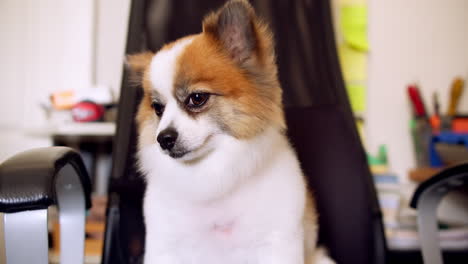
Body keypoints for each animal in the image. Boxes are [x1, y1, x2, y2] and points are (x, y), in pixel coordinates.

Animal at [126, 0, 334, 264]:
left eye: (197, 98)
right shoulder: (166, 249)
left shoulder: (276, 244)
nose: (164, 139)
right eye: (157, 108)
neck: (213, 176)